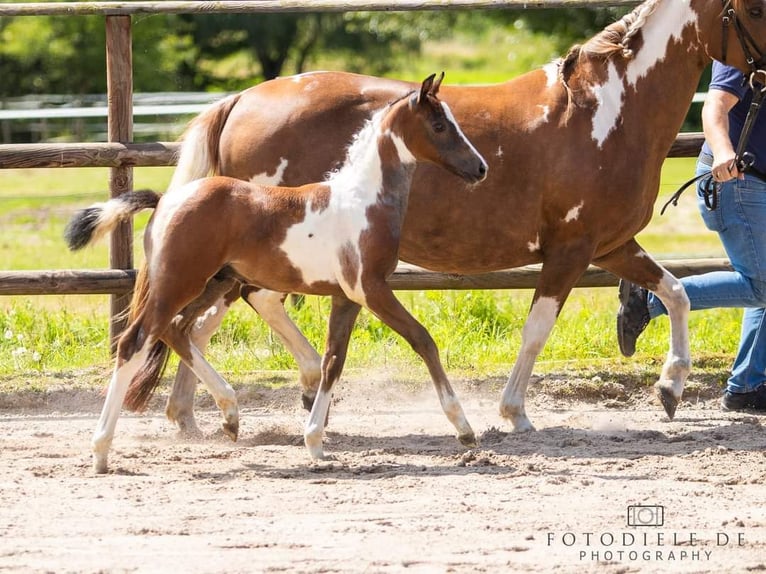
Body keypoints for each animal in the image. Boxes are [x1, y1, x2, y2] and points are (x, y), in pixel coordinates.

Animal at [66, 74, 486, 474]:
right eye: (439, 125)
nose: (480, 168)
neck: (363, 201)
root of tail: (166, 200)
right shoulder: (372, 289)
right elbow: (423, 340)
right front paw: (464, 429)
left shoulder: (346, 296)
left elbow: (333, 361)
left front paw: (315, 443)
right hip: (181, 282)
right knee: (134, 343)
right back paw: (102, 451)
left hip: (213, 282)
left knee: (176, 330)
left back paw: (230, 414)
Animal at [165, 0, 766, 436]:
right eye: (756, 9)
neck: (607, 112)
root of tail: (242, 99)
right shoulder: (570, 249)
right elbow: (536, 330)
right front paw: (514, 412)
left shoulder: (611, 245)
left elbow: (677, 292)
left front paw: (670, 388)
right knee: (229, 310)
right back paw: (278, 394)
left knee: (202, 320)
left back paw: (199, 415)